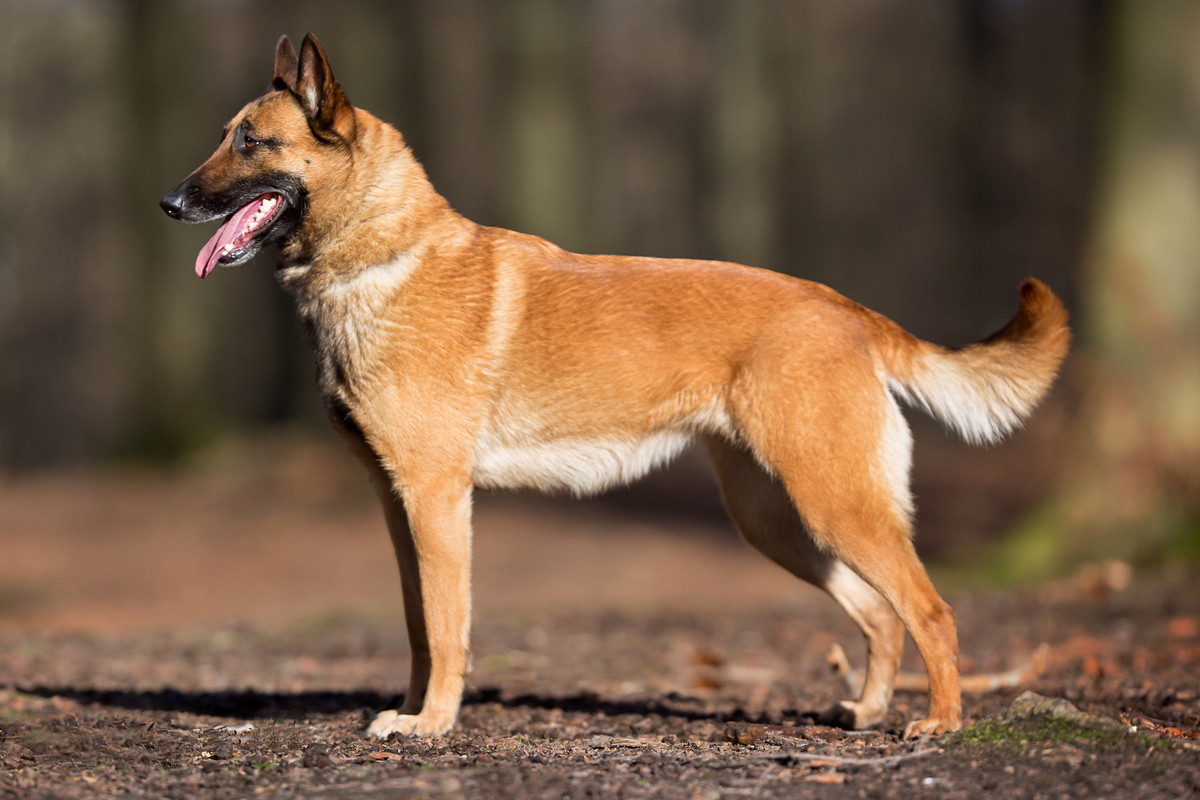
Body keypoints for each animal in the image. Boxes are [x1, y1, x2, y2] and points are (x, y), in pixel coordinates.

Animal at [159, 34, 1070, 743]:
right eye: (225, 137)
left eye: (251, 143)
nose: (168, 202)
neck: (382, 255)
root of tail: (846, 308)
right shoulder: (400, 505)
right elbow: (419, 627)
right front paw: (412, 712)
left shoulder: (437, 500)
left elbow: (448, 629)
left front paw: (433, 726)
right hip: (779, 521)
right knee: (880, 614)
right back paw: (869, 711)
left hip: (835, 502)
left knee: (931, 610)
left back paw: (940, 723)